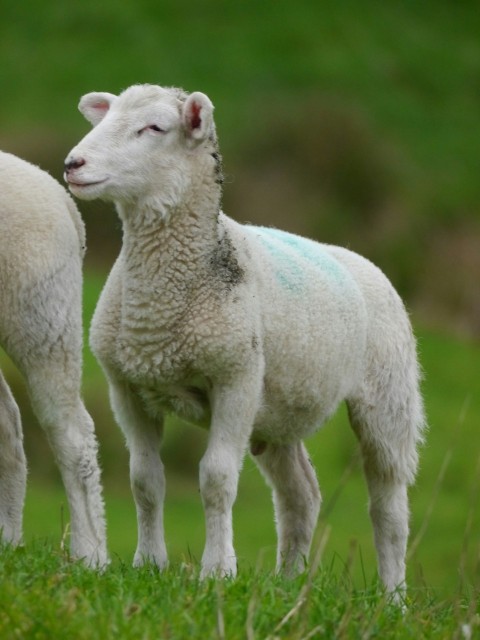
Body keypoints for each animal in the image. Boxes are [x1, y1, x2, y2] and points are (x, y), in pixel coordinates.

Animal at [62, 85, 424, 596]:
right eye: (106, 117)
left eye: (154, 128)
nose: (73, 163)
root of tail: (362, 261)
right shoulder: (128, 387)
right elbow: (144, 480)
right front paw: (148, 563)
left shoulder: (235, 379)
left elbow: (216, 479)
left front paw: (217, 571)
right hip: (276, 412)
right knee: (301, 495)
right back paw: (286, 584)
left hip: (387, 397)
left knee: (388, 506)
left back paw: (393, 598)